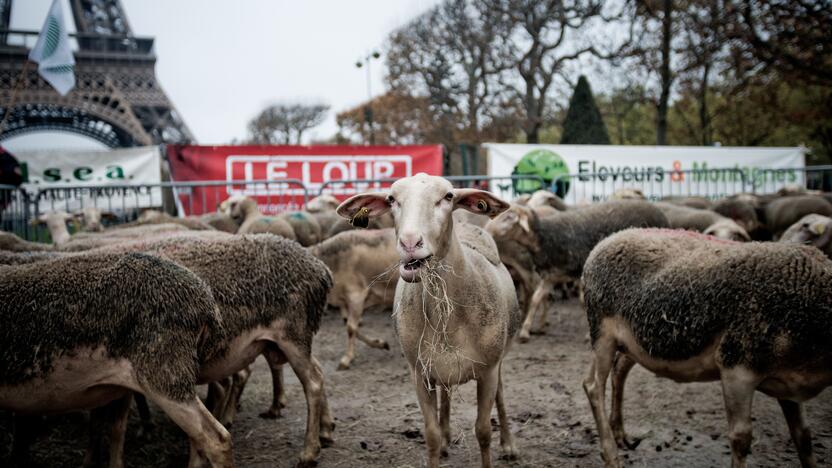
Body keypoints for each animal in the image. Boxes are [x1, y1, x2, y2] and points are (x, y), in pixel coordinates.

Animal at [488, 200, 668, 340]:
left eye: (509, 216)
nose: (488, 229)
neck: (545, 237)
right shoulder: (552, 276)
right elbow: (536, 299)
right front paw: (526, 331)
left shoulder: (581, 273)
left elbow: (583, 302)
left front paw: (589, 334)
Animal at [580, 229, 832, 468]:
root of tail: (606, 241)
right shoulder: (736, 366)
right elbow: (741, 438)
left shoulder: (788, 383)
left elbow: (804, 437)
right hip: (602, 331)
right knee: (593, 385)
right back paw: (611, 456)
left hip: (634, 342)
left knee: (619, 370)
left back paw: (620, 434)